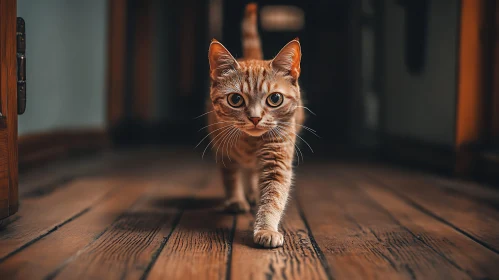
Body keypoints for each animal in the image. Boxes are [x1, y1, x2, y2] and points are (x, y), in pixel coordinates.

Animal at [205, 2, 306, 247]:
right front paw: (235, 200)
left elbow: (273, 197)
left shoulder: (277, 160)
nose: (255, 117)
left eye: (275, 98)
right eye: (235, 99)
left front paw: (266, 228)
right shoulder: (224, 153)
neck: (250, 144)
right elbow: (231, 178)